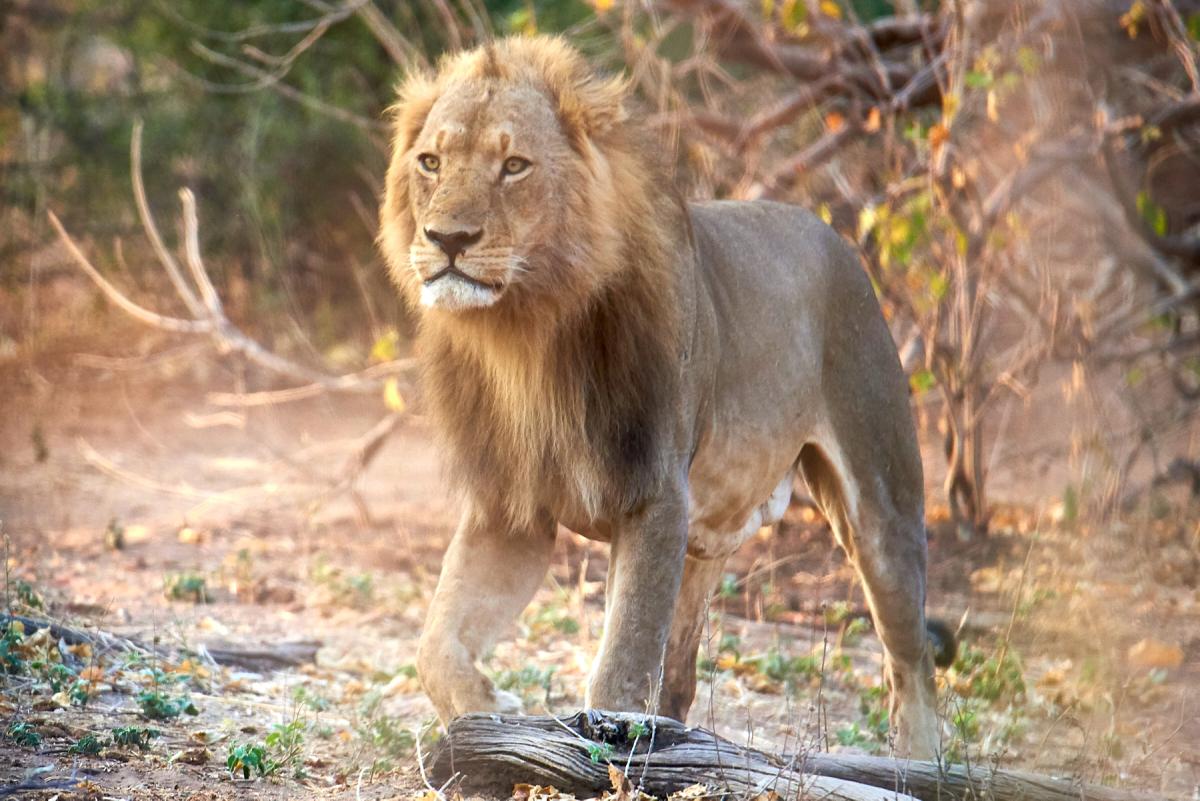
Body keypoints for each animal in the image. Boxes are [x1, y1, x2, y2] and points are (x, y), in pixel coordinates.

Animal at [378, 35, 956, 758]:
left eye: (514, 166)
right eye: (430, 162)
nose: (447, 239)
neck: (526, 336)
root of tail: (830, 233)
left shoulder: (654, 494)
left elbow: (621, 668)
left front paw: (601, 751)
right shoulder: (511, 509)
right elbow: (434, 645)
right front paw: (487, 712)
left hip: (881, 501)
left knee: (912, 661)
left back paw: (920, 762)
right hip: (703, 541)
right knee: (679, 678)